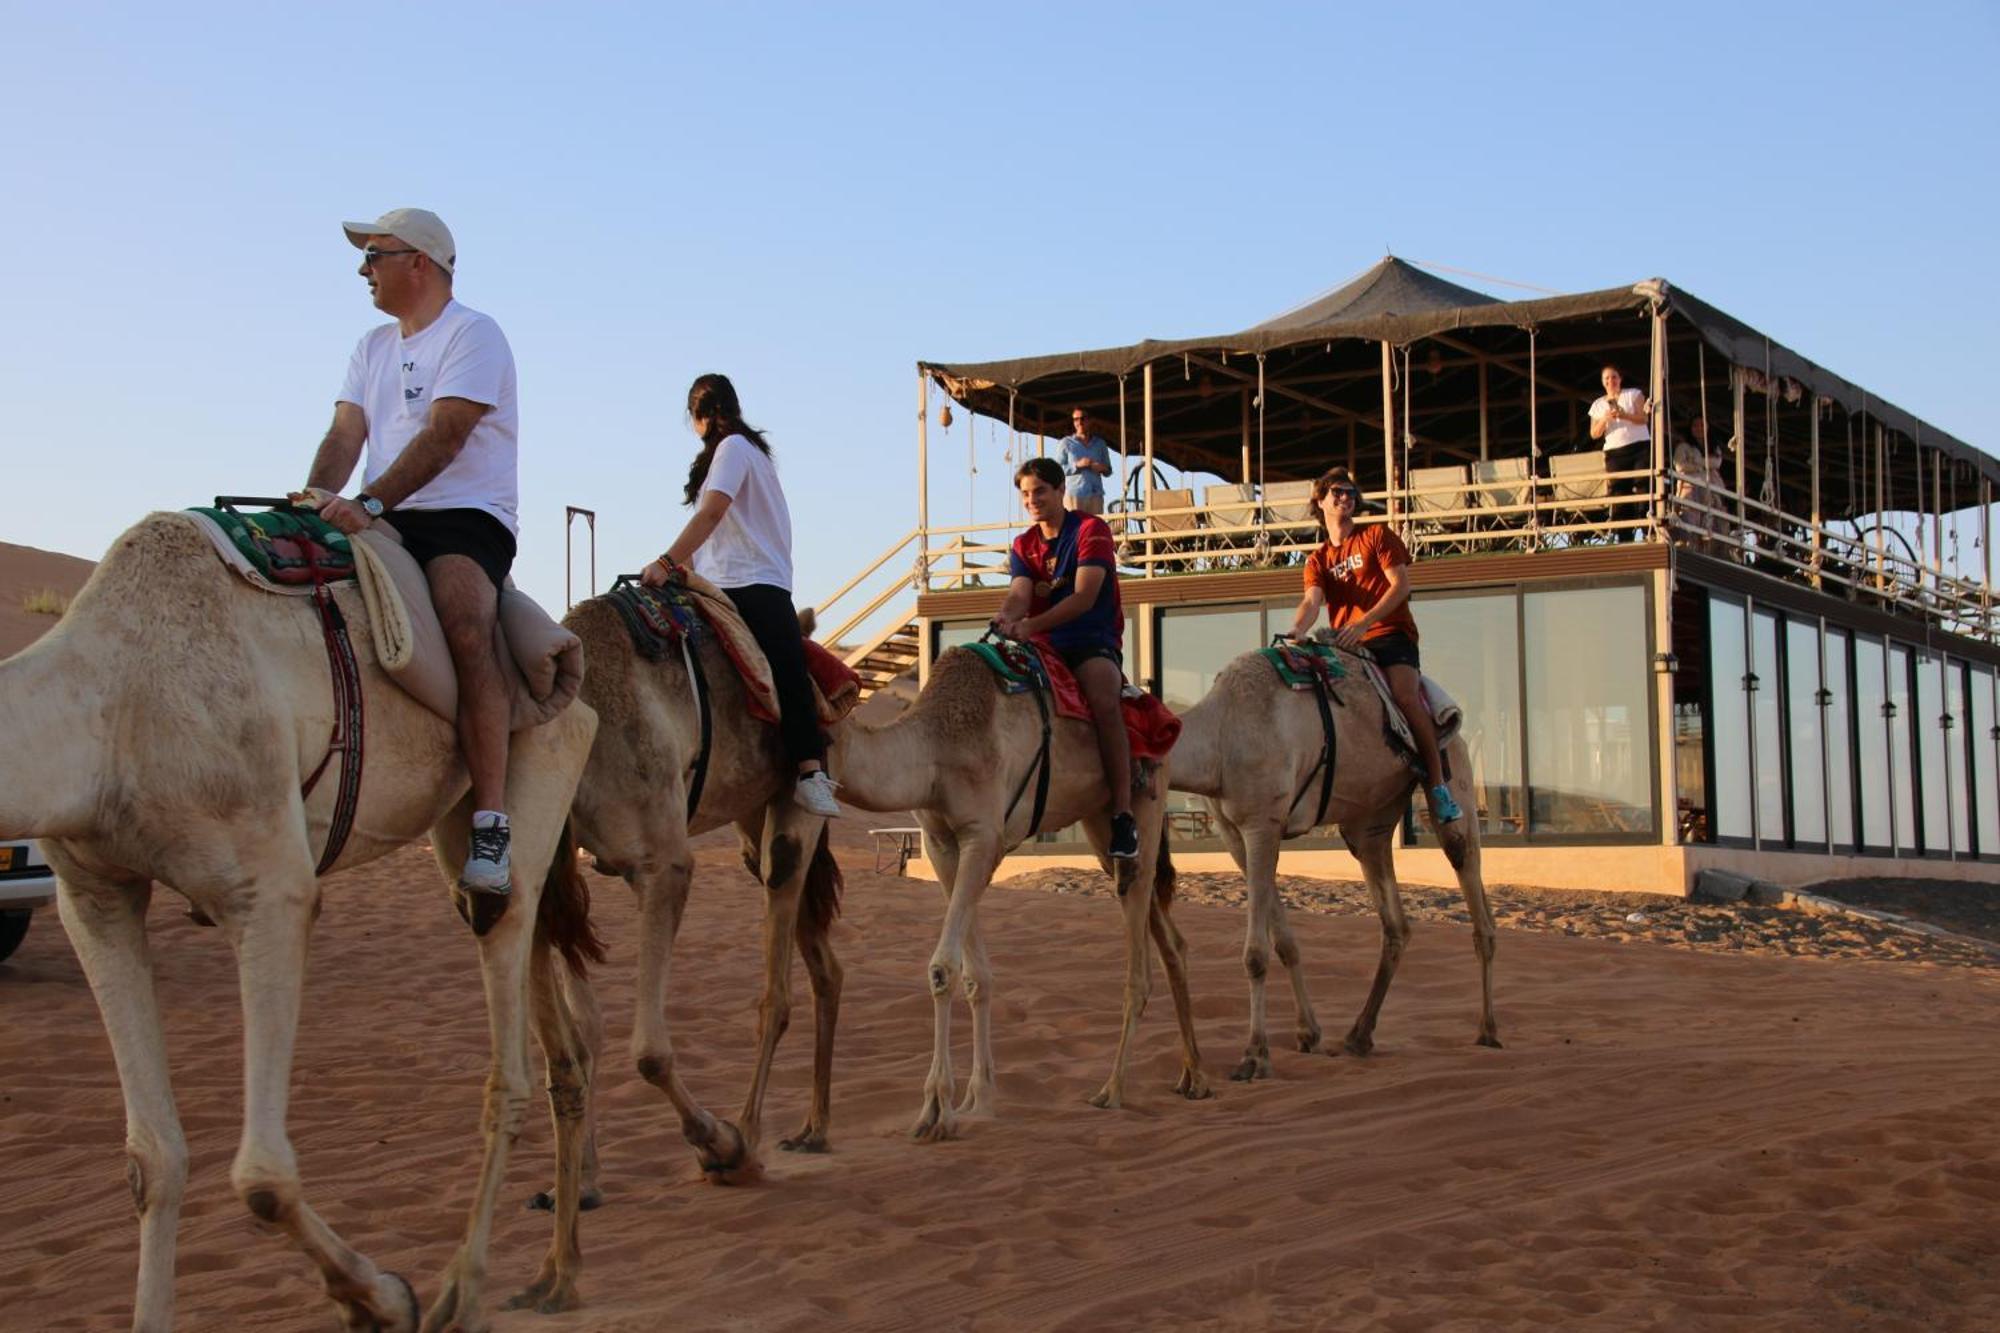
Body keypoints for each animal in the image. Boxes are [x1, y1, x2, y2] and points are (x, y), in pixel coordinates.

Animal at [816, 640, 1200, 1136]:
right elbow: (976, 975)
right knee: (1168, 935)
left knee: (1139, 964)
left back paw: (1112, 1090)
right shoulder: (942, 844)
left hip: (1146, 806)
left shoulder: (983, 837)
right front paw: (977, 1100)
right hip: (1099, 823)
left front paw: (936, 1109)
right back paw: (1194, 1076)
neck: (937, 744)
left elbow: (943, 968)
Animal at [1168, 644, 1504, 1080]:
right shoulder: (1233, 833)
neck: (1221, 734)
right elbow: (1284, 941)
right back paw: (1359, 1035)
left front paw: (1255, 1055)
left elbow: (1256, 953)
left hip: (1453, 778)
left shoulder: (1262, 821)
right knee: (1396, 922)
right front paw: (1307, 1033)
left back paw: (1488, 1031)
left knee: (1474, 894)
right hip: (1369, 822)